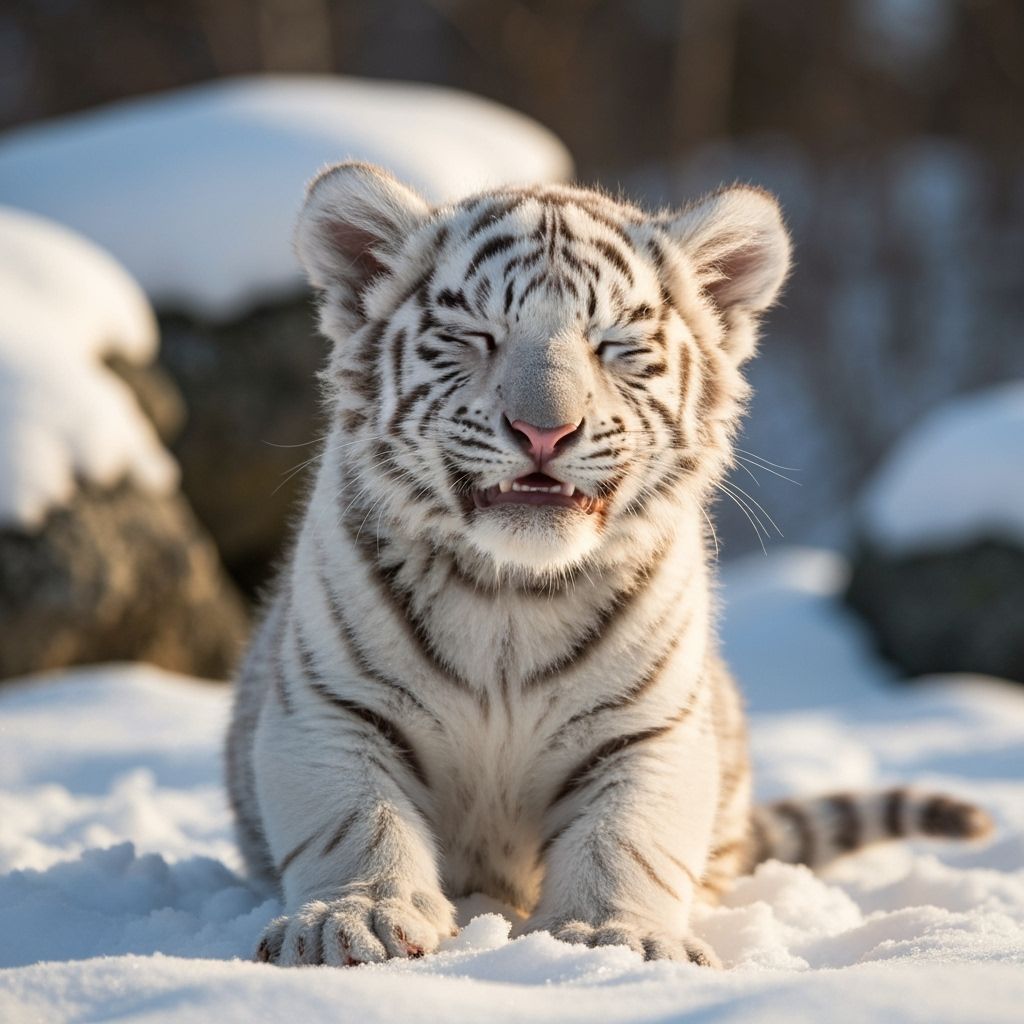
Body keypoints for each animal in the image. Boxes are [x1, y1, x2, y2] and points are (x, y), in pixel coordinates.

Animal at [226, 162, 993, 968]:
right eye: (476, 336)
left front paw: (613, 937)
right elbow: (356, 823)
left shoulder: (648, 729)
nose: (544, 430)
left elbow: (625, 839)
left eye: (612, 345)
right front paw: (353, 919)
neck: (510, 594)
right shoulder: (331, 706)